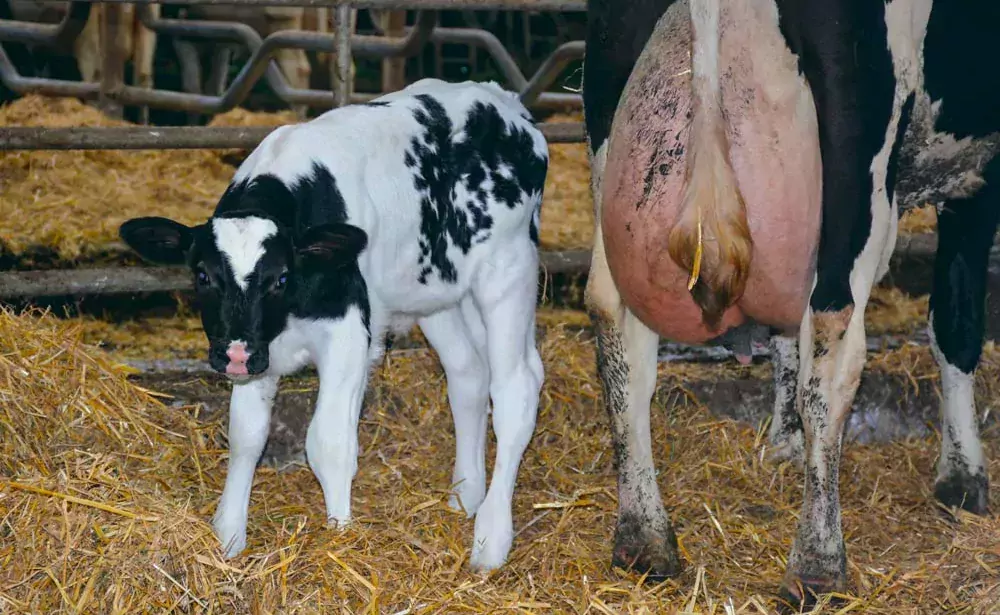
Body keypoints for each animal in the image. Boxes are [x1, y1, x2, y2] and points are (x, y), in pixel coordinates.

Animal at [121, 79, 552, 576]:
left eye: (280, 277)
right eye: (203, 276)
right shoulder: (261, 347)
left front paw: (340, 536)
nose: (233, 355)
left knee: (516, 389)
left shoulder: (345, 332)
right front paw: (228, 537)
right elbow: (246, 435)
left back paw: (491, 538)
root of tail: (505, 102)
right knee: (469, 376)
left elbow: (328, 442)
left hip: (507, 272)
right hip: (438, 291)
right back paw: (466, 495)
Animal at [584, 0, 1000, 608]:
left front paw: (783, 444)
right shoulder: (980, 176)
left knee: (616, 328)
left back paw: (644, 540)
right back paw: (818, 562)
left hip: (610, 125)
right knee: (832, 354)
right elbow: (956, 320)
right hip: (859, 168)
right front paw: (963, 475)